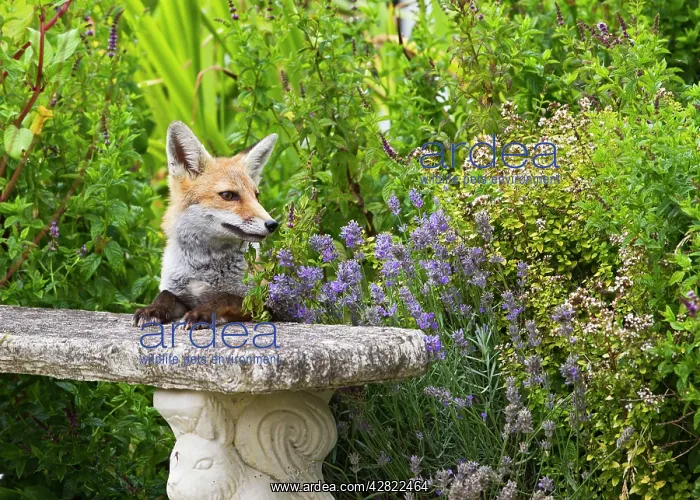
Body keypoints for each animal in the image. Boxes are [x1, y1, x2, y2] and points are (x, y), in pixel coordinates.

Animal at [132, 121, 279, 330]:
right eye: (228, 195)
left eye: (256, 196)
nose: (273, 224)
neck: (203, 267)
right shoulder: (180, 293)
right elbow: (165, 295)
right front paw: (152, 310)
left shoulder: (263, 304)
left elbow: (225, 298)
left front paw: (200, 313)